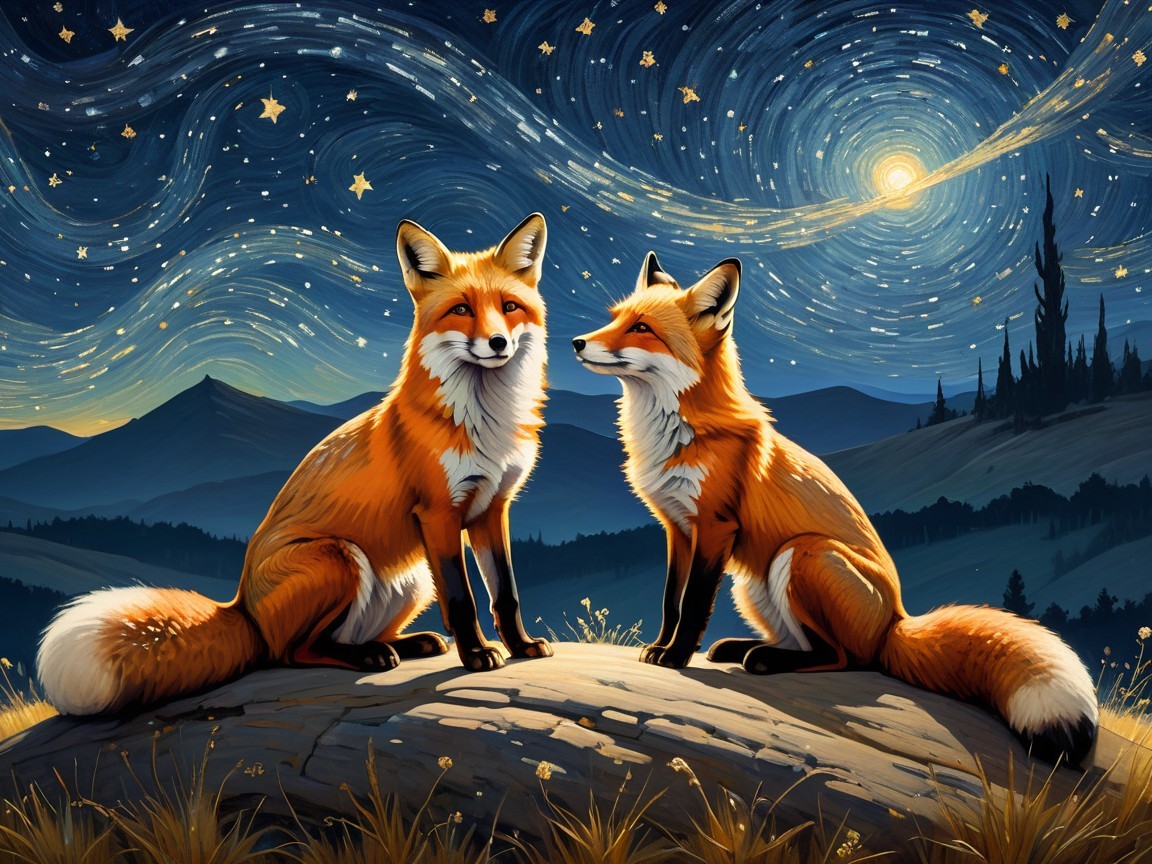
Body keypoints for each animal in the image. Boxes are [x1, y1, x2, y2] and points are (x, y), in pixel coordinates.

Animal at [38, 213, 554, 715]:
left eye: (509, 307)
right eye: (461, 310)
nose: (498, 342)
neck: (485, 423)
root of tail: (243, 608)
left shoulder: (492, 508)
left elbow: (506, 593)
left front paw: (522, 646)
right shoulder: (438, 513)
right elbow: (462, 600)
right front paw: (477, 655)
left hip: (410, 581)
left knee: (342, 637)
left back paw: (408, 644)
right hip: (339, 557)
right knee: (292, 652)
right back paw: (371, 657)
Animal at [572, 251, 1098, 766]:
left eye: (642, 328)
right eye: (614, 318)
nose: (576, 343)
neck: (675, 433)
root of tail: (895, 622)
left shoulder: (716, 528)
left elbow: (694, 604)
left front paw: (677, 656)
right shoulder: (677, 528)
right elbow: (670, 601)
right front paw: (660, 648)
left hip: (804, 553)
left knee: (846, 658)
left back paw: (762, 660)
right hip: (754, 583)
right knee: (808, 644)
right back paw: (744, 648)